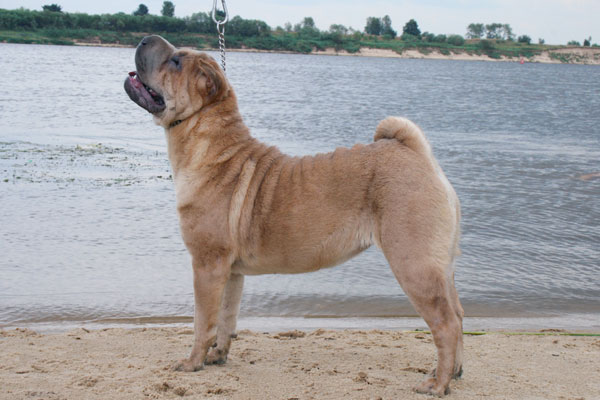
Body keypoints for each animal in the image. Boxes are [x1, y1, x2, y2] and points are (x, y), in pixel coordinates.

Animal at [124, 35, 464, 396]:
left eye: (176, 62)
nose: (145, 38)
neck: (213, 146)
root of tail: (417, 154)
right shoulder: (230, 273)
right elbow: (227, 318)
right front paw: (218, 356)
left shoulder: (207, 265)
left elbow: (203, 321)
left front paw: (192, 363)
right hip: (440, 268)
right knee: (458, 315)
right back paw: (453, 372)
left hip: (414, 264)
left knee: (445, 324)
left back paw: (437, 384)